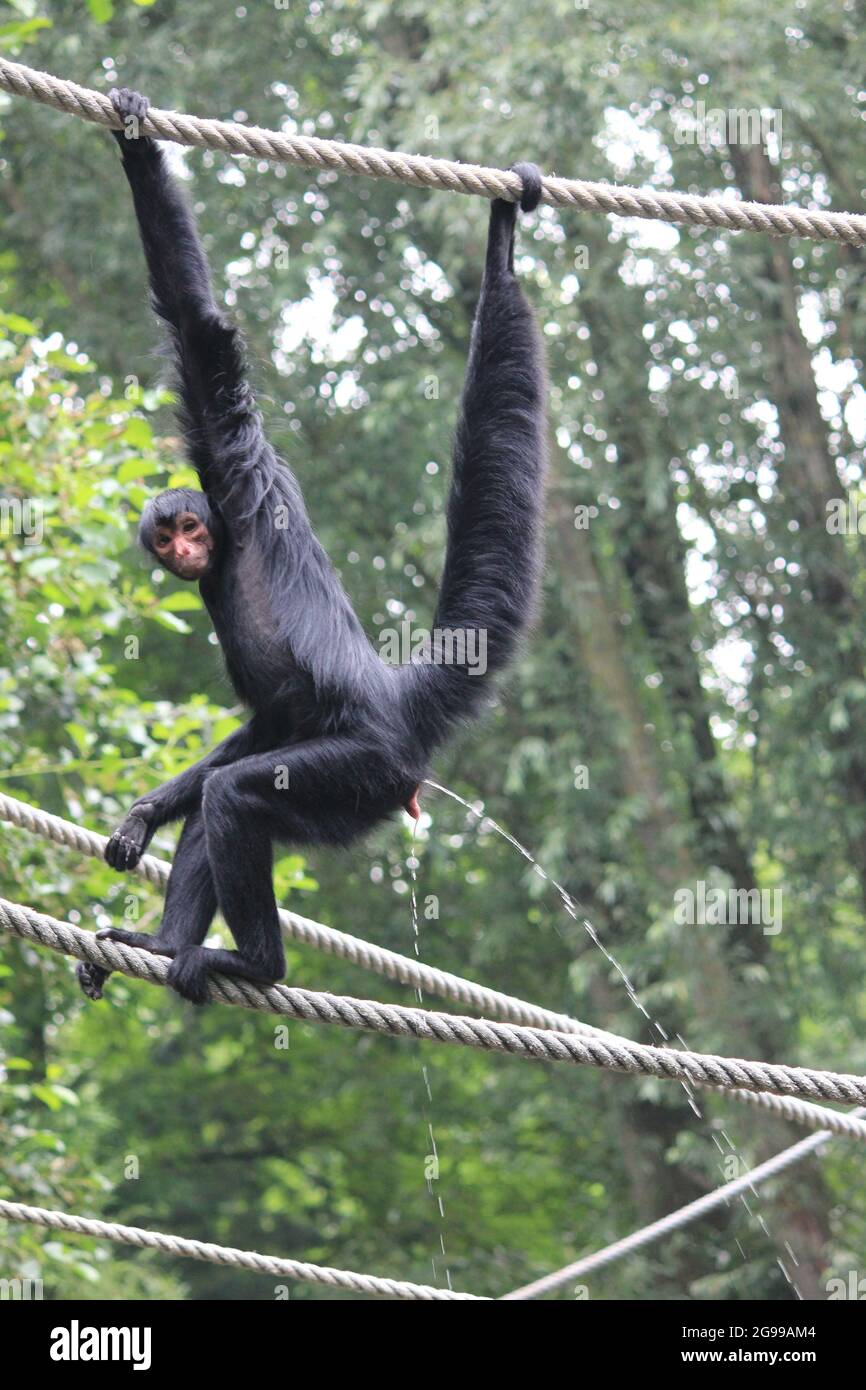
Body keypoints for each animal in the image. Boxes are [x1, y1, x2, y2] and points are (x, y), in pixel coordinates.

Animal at [77, 86, 544, 1006]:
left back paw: (252, 962)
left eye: (191, 525)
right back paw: (164, 943)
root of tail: (397, 701)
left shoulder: (231, 453)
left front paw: (133, 135)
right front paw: (142, 816)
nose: (184, 547)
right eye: (166, 535)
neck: (227, 541)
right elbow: (269, 716)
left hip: (361, 770)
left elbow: (198, 326)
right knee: (224, 798)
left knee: (237, 797)